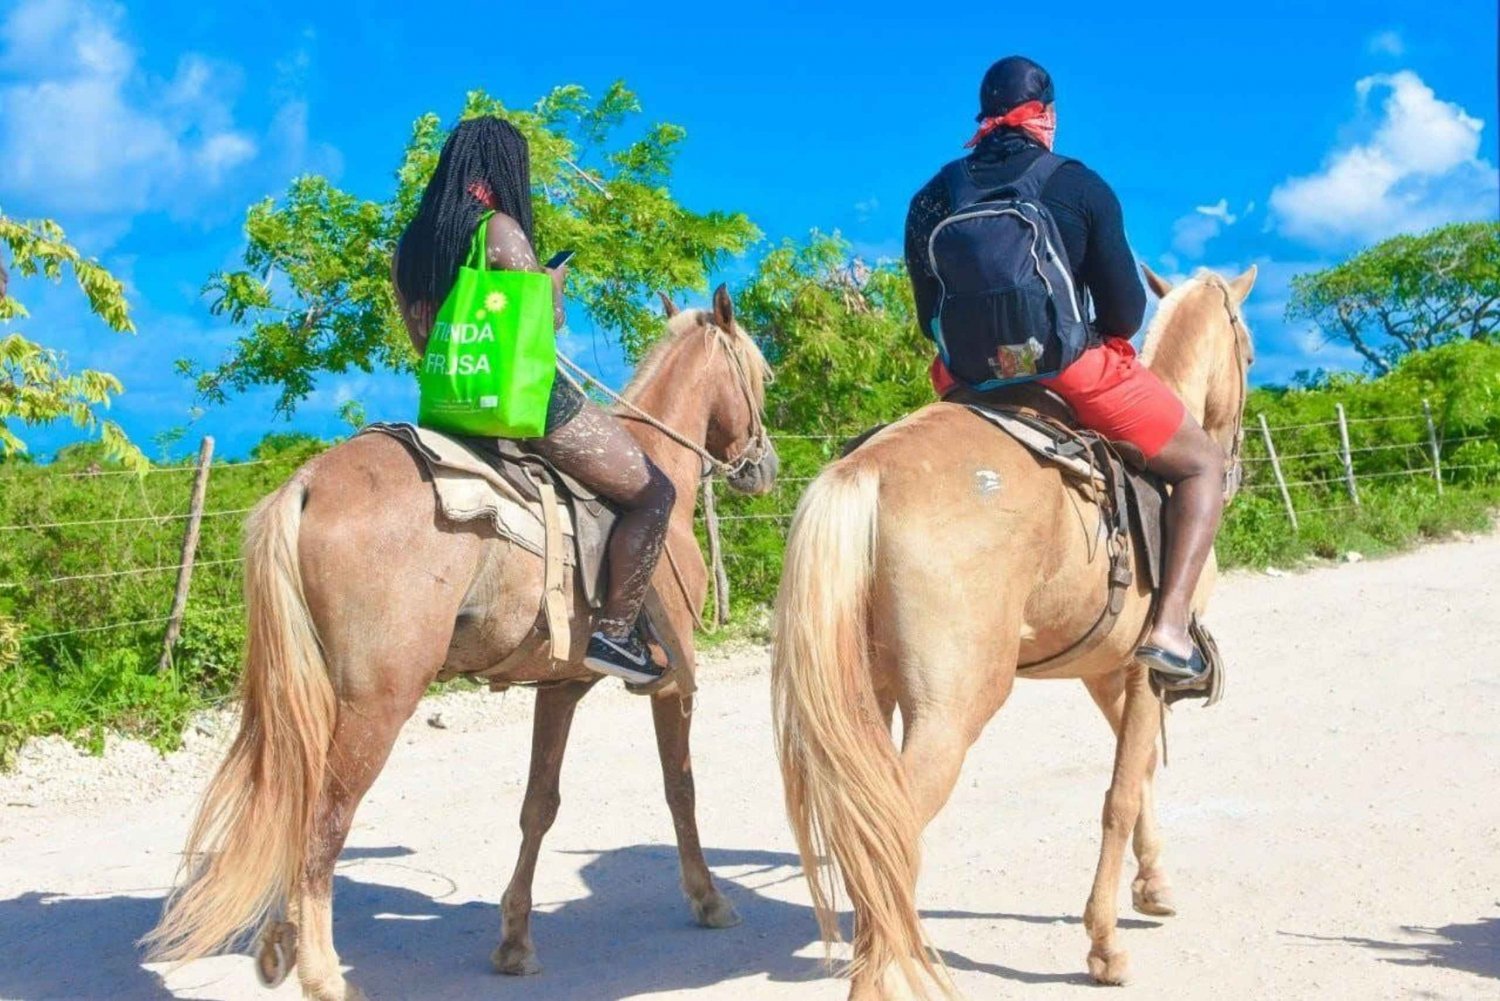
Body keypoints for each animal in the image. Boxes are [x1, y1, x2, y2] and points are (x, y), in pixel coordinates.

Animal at [146, 283, 780, 1001]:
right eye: (760, 375)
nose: (763, 466)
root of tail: (308, 483)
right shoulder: (677, 676)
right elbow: (681, 787)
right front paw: (709, 898)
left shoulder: (560, 686)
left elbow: (539, 805)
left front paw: (515, 941)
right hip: (376, 705)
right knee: (323, 821)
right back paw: (322, 972)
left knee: (293, 800)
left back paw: (282, 943)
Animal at [774, 262, 1254, 996]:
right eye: (1249, 352)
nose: (1233, 462)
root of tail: (867, 471)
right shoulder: (1146, 670)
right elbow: (1120, 793)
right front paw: (1105, 944)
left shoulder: (1104, 671)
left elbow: (1138, 771)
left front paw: (1152, 886)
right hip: (949, 714)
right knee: (888, 849)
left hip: (865, 704)